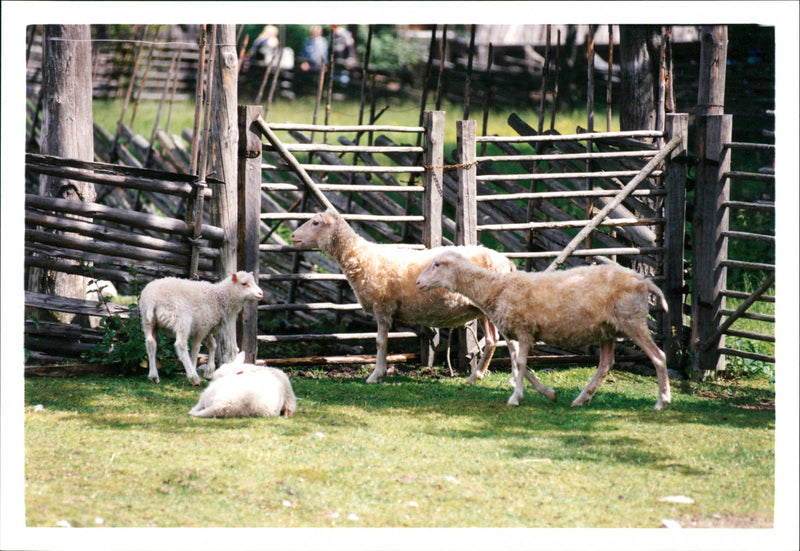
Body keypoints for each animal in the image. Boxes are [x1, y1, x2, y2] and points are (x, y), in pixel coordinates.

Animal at [290, 209, 528, 386]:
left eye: (315, 223)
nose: (292, 236)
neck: (362, 257)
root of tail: (507, 261)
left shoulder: (383, 306)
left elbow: (380, 342)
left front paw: (376, 375)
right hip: (483, 310)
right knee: (492, 341)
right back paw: (475, 376)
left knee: (511, 343)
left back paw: (511, 381)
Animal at [416, 252, 672, 412]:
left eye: (437, 264)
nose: (418, 283)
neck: (496, 288)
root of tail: (644, 281)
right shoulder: (518, 333)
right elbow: (520, 363)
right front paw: (548, 393)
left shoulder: (524, 330)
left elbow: (520, 363)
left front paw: (515, 398)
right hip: (608, 330)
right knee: (606, 364)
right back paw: (581, 399)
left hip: (632, 320)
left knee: (659, 356)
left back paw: (663, 401)